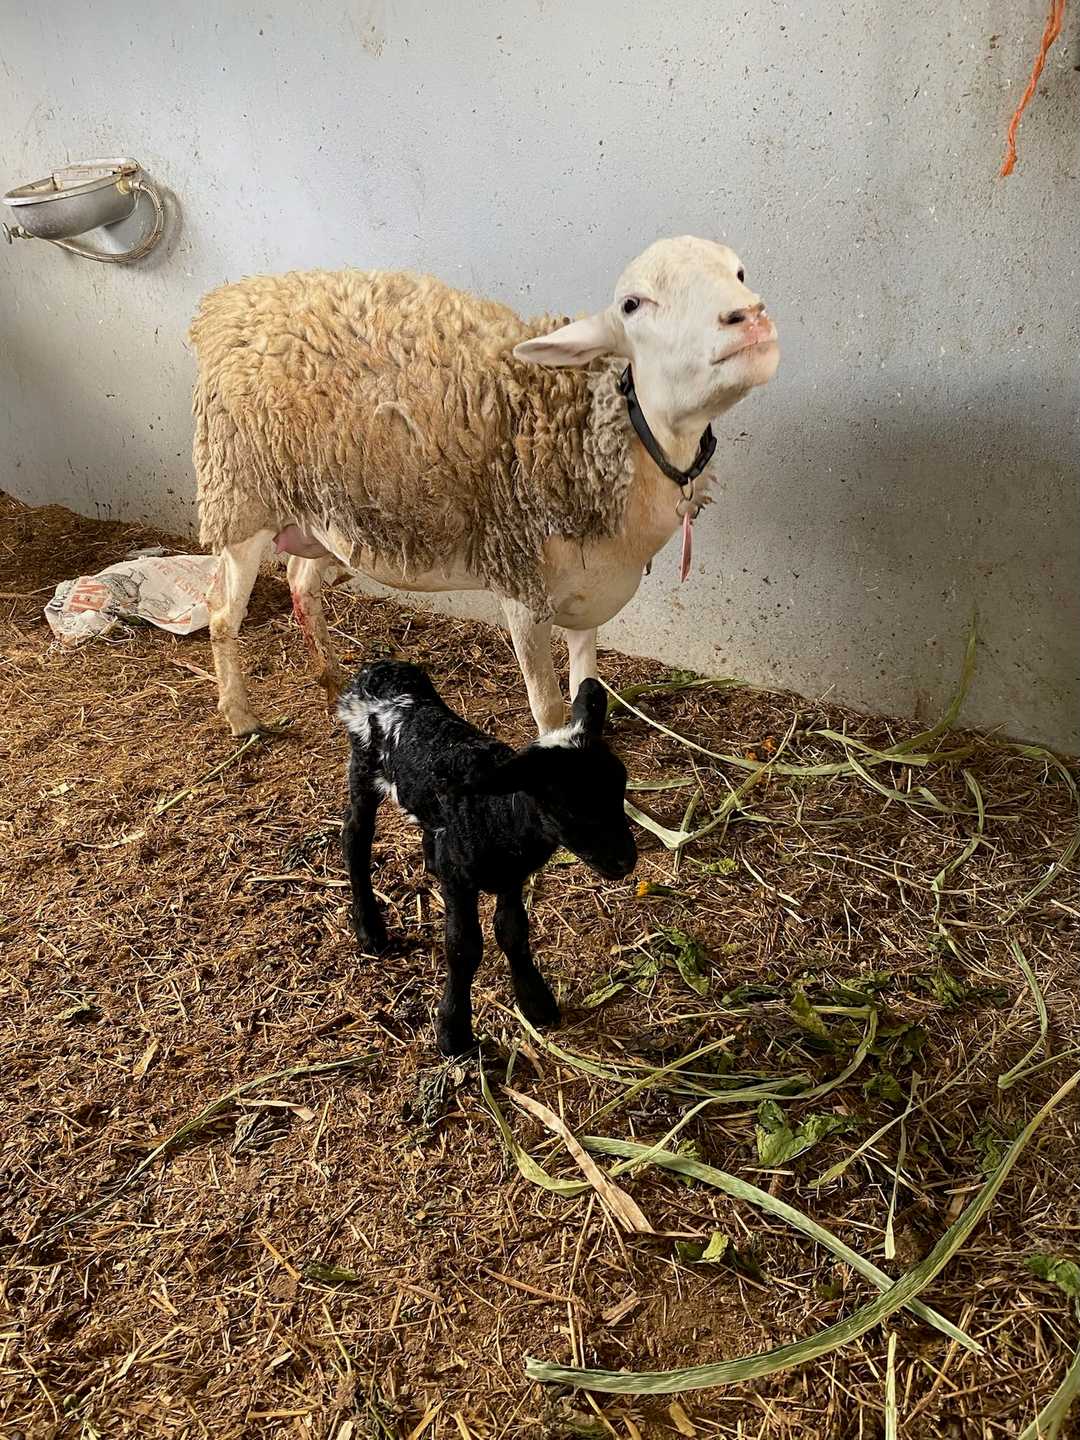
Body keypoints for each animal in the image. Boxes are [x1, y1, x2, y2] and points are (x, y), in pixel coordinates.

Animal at [190, 235, 779, 737]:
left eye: (739, 273)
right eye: (633, 304)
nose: (750, 317)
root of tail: (229, 301)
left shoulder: (589, 590)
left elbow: (585, 687)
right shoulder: (523, 587)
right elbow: (548, 707)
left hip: (321, 513)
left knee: (299, 583)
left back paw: (332, 680)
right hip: (239, 496)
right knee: (221, 612)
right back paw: (241, 717)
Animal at [338, 660, 636, 1055]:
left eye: (621, 788)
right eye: (570, 809)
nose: (626, 861)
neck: (496, 814)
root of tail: (380, 669)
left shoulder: (513, 876)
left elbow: (512, 931)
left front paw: (536, 1002)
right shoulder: (459, 881)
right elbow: (463, 947)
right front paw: (453, 1031)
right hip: (363, 764)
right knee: (355, 836)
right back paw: (370, 929)